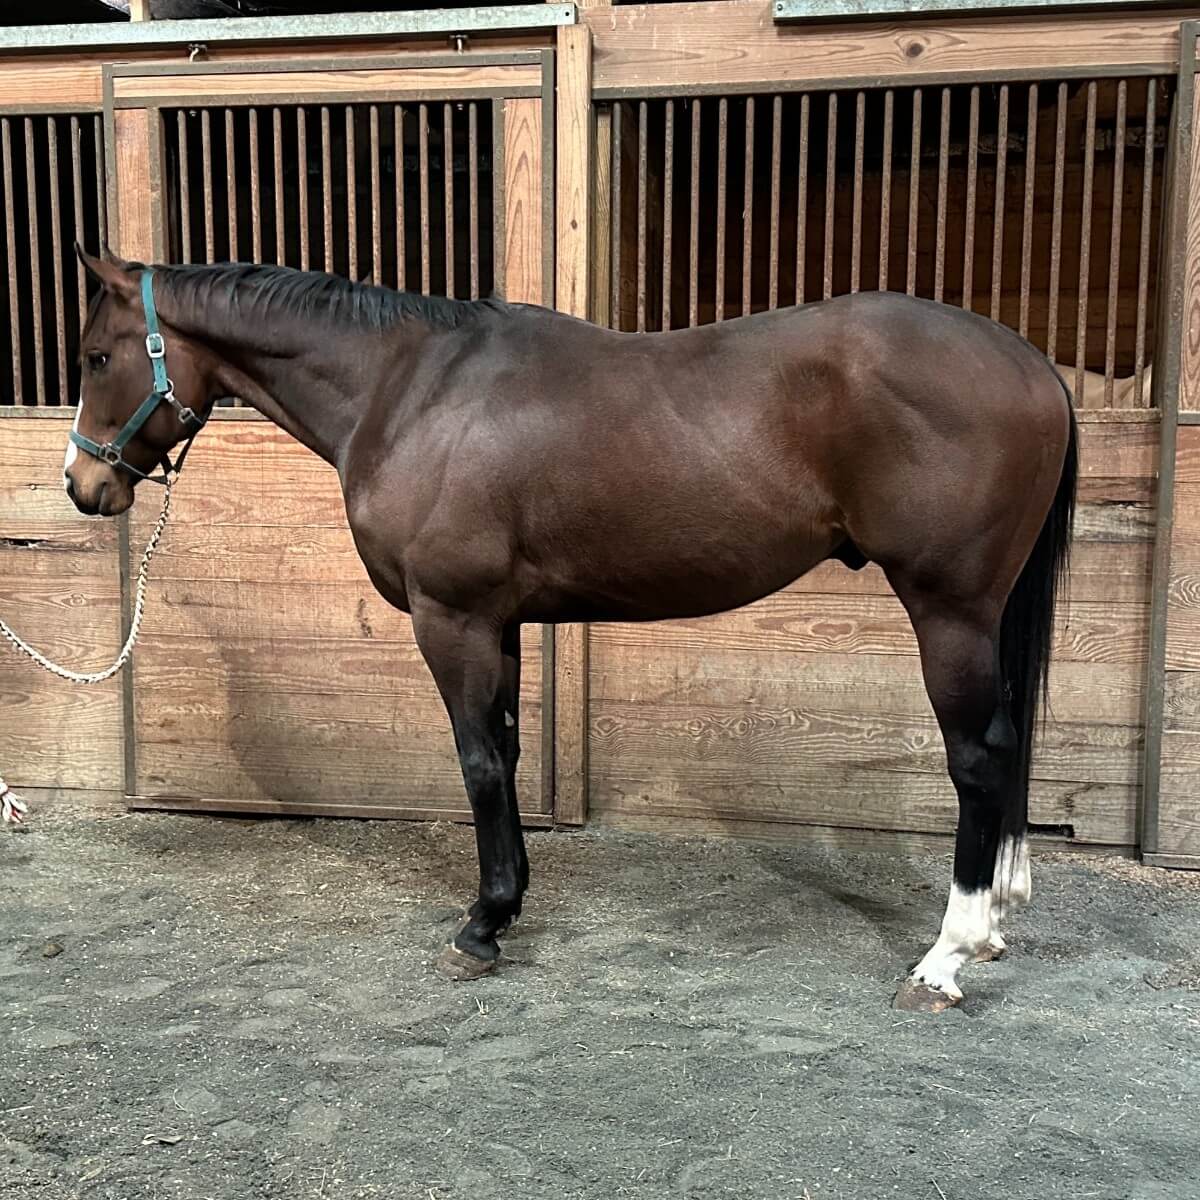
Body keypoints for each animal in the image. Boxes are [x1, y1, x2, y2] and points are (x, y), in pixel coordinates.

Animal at [64, 245, 1076, 1012]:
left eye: (96, 358)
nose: (84, 485)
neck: (409, 389)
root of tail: (1032, 364)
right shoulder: (498, 621)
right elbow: (506, 756)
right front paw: (505, 906)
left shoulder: (453, 618)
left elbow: (477, 763)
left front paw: (480, 926)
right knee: (1010, 744)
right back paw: (991, 927)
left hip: (949, 610)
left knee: (979, 758)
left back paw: (948, 955)